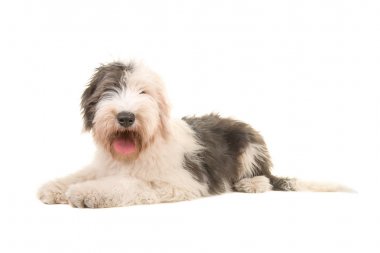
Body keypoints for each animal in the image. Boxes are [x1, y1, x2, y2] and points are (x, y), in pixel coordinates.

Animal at [37, 60, 352, 208]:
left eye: (144, 93)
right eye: (109, 90)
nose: (126, 117)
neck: (140, 149)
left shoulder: (179, 181)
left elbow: (128, 184)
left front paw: (87, 193)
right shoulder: (104, 165)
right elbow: (82, 174)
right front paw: (55, 188)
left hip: (249, 143)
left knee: (264, 177)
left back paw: (251, 184)